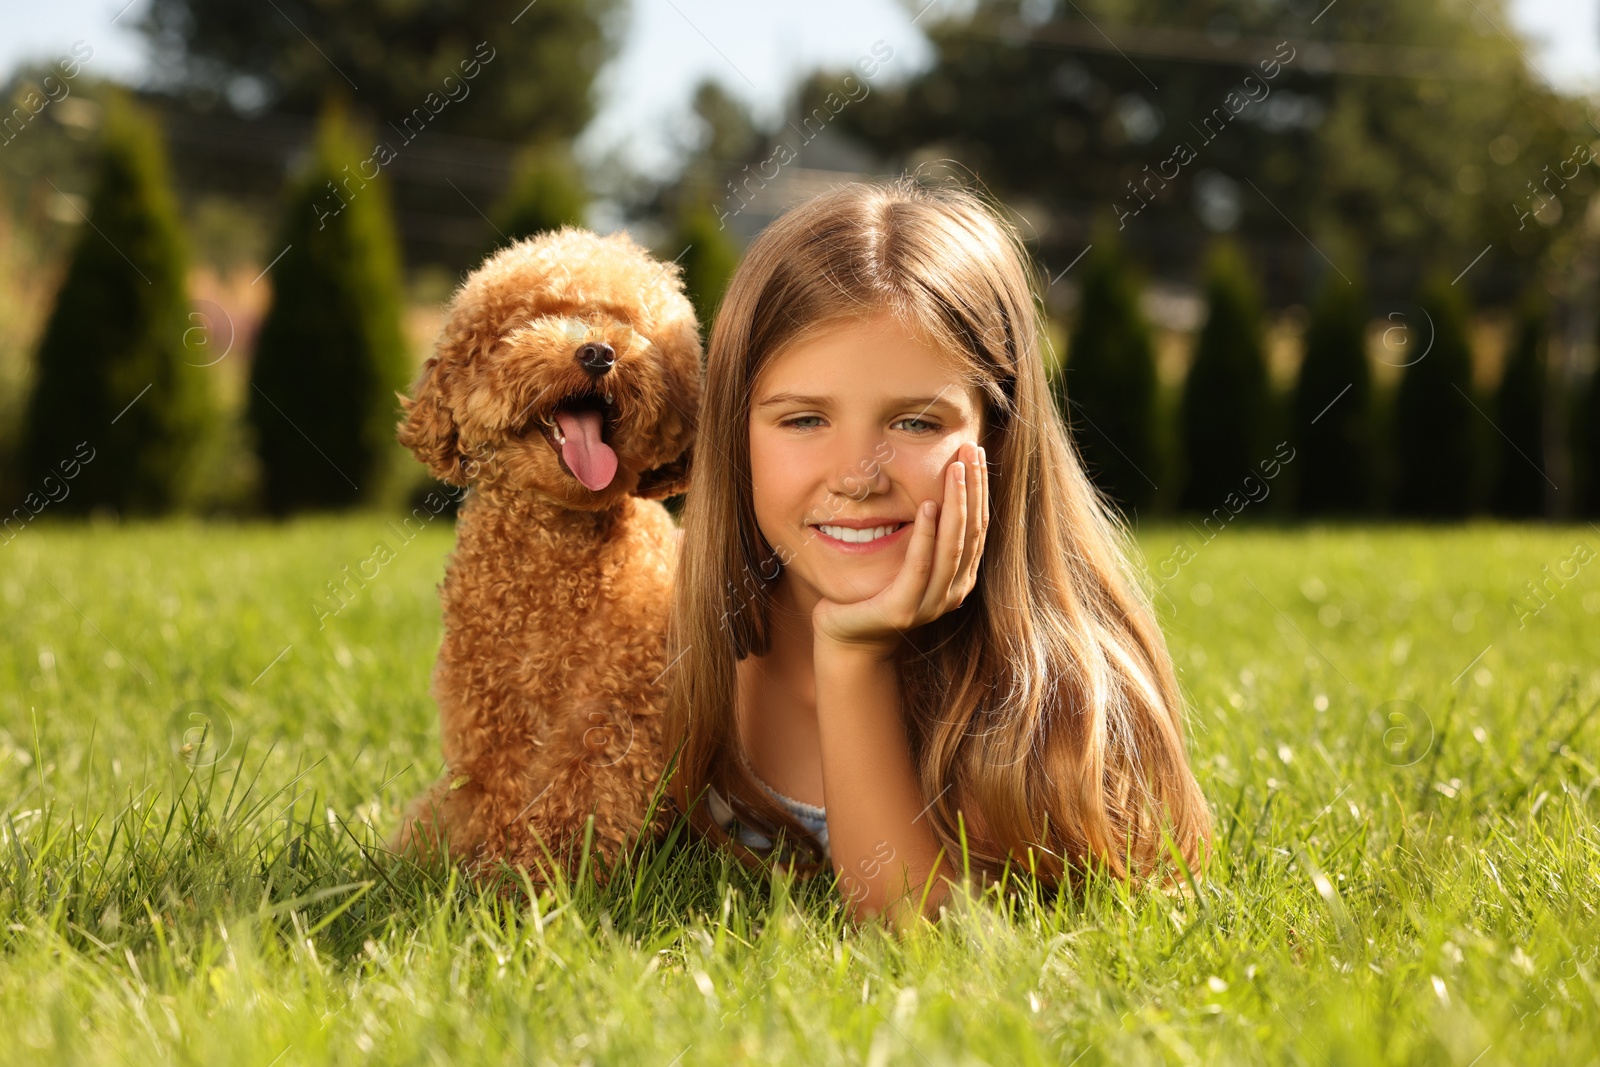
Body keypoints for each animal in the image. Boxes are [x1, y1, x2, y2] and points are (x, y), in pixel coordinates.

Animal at [387, 225, 700, 883]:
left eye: (624, 321)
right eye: (533, 319)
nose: (599, 353)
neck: (551, 557)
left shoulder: (615, 713)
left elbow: (578, 799)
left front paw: (534, 882)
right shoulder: (489, 717)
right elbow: (488, 796)